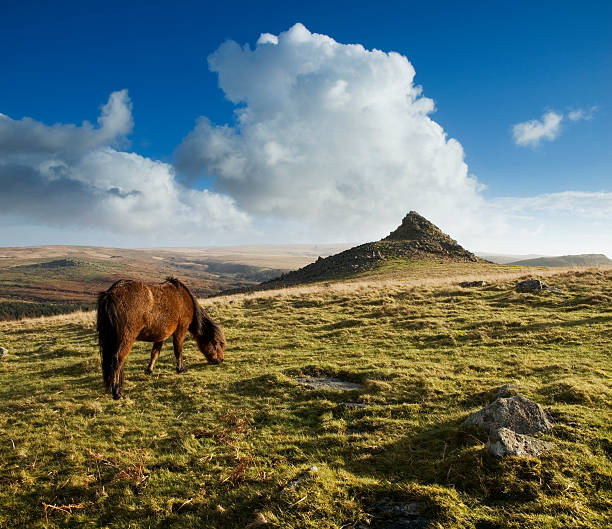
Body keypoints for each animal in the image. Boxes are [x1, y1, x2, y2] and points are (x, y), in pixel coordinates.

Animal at [97, 278, 226, 398]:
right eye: (216, 344)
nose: (221, 360)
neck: (184, 299)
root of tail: (110, 294)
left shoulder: (161, 335)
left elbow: (155, 353)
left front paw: (149, 370)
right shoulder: (180, 330)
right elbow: (178, 350)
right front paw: (180, 369)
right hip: (126, 338)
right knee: (117, 360)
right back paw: (117, 392)